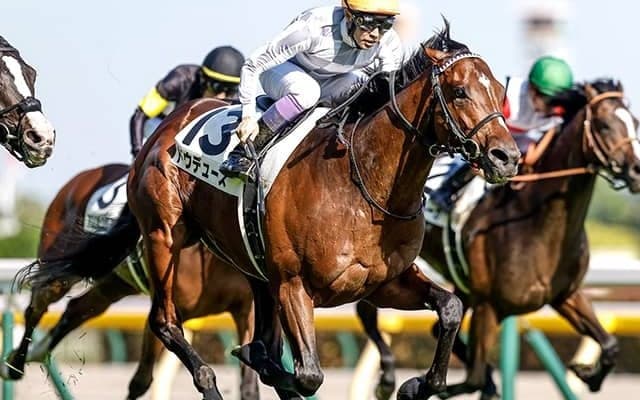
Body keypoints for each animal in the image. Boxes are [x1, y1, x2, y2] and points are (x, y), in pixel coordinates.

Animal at [5, 163, 259, 400]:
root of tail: (82, 177)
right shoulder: (167, 308)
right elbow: (141, 379)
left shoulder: (245, 311)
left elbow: (249, 383)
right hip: (60, 270)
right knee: (36, 308)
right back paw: (16, 364)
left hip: (114, 284)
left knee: (76, 309)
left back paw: (39, 351)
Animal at [127, 21, 521, 400]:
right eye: (460, 91)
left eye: (499, 91)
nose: (507, 157)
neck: (361, 187)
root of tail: (170, 123)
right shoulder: (293, 285)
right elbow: (307, 375)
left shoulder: (384, 283)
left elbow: (450, 308)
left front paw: (414, 386)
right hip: (164, 235)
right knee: (164, 320)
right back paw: (208, 382)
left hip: (250, 262)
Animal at [356, 78, 640, 400]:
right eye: (604, 125)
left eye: (635, 123)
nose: (637, 170)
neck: (537, 224)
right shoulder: (488, 307)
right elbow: (475, 377)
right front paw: (417, 385)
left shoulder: (566, 295)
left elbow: (610, 345)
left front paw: (587, 374)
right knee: (366, 311)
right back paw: (387, 378)